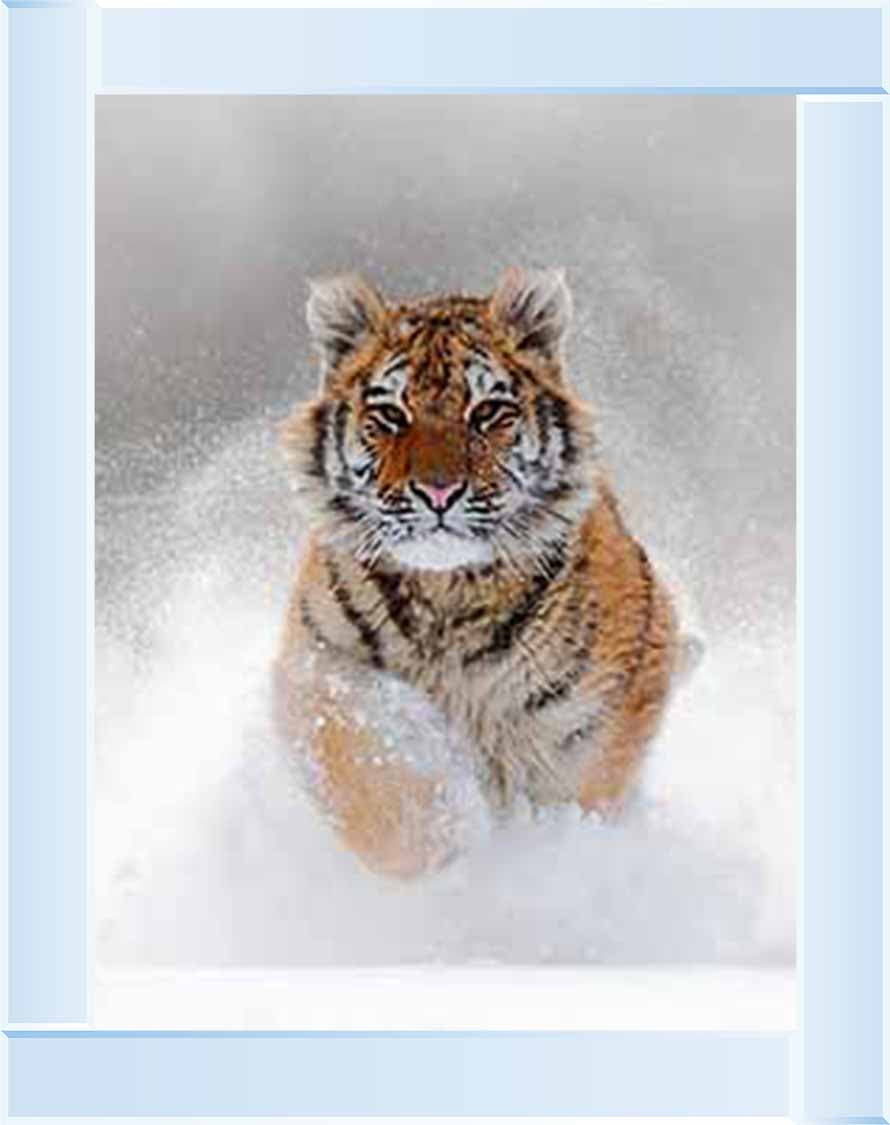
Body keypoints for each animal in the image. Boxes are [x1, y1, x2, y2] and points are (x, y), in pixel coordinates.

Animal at [275, 267, 684, 878]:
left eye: (487, 412)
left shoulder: (603, 710)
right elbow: (370, 767)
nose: (438, 492)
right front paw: (444, 844)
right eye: (391, 416)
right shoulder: (316, 666)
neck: (447, 594)